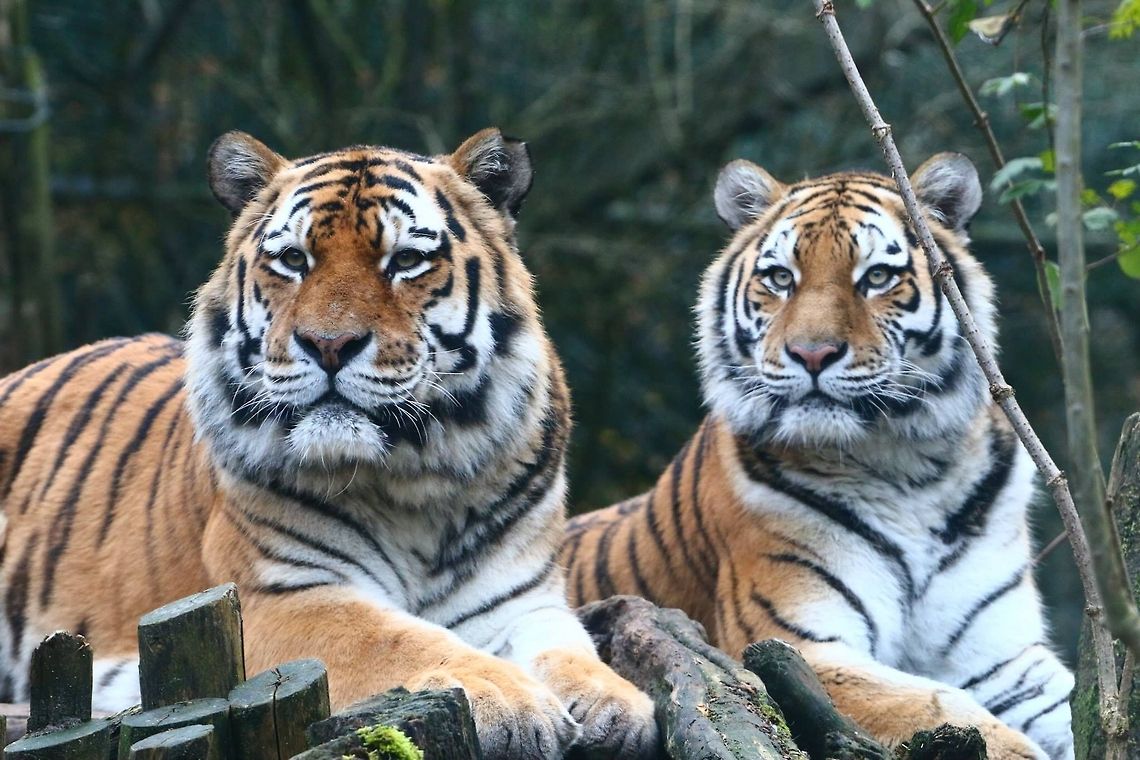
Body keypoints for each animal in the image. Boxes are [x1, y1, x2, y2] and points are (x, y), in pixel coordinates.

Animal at [0, 128, 657, 759]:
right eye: (293, 258)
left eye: (406, 260)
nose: (329, 344)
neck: (418, 482)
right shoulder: (279, 595)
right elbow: (397, 639)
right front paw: (510, 699)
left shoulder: (520, 597)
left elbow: (566, 646)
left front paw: (617, 704)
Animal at [560, 154, 1074, 759]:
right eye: (781, 277)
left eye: (877, 277)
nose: (811, 354)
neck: (913, 467)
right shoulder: (794, 642)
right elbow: (941, 704)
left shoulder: (1005, 662)